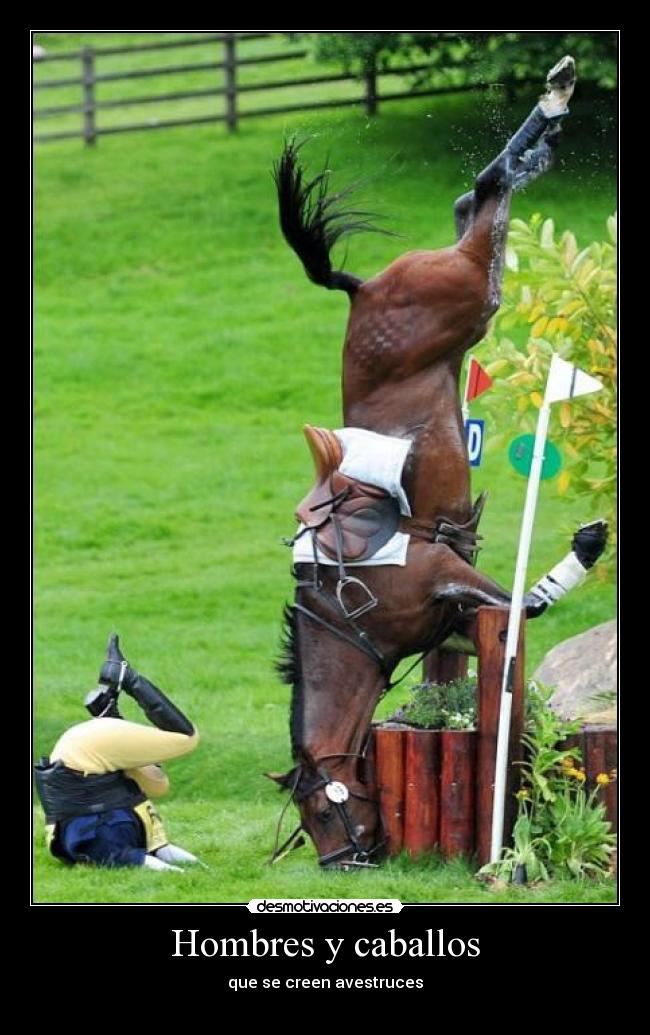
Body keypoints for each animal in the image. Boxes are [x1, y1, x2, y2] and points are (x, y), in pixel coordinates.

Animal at [268, 57, 607, 869]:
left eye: (321, 811)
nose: (343, 862)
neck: (346, 626)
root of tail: (360, 286)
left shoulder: (444, 575)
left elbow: (525, 605)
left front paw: (588, 543)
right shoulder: (449, 615)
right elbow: (503, 621)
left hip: (463, 297)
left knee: (483, 200)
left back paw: (551, 103)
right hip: (463, 299)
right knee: (472, 203)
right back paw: (546, 131)